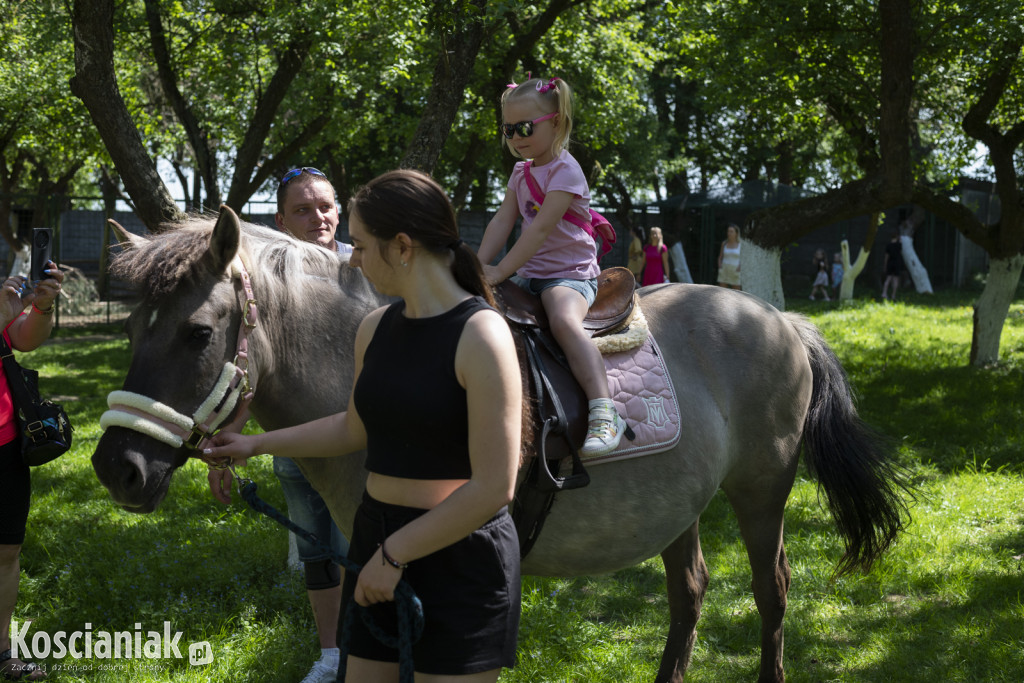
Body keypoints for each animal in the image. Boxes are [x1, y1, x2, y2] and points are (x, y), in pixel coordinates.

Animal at [92, 208, 909, 683]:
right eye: (131, 327)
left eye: (198, 332)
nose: (115, 467)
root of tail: (779, 318)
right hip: (681, 504)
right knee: (691, 592)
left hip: (762, 490)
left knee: (772, 592)